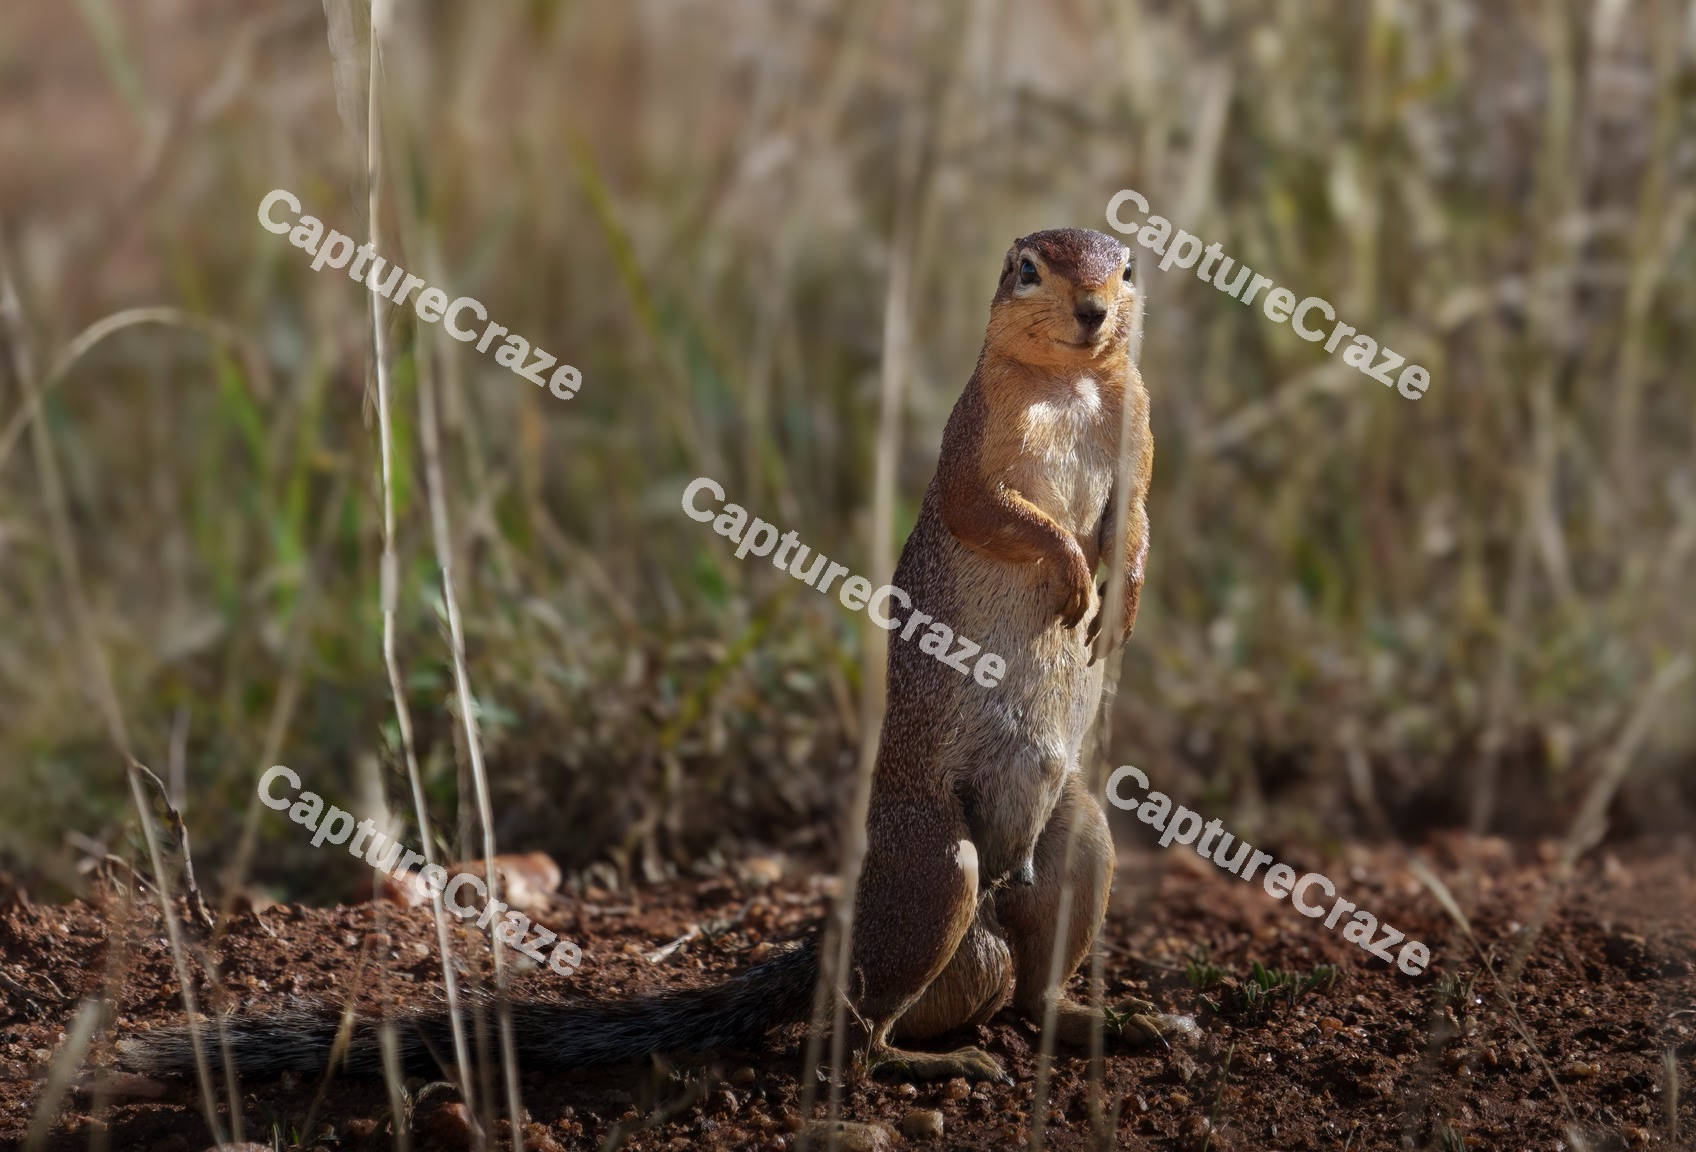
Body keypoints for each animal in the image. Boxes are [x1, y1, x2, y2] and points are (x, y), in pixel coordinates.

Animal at [117, 227, 1180, 1086]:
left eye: (1127, 266)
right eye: (1029, 267)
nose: (1094, 310)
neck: (1070, 384)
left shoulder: (1140, 430)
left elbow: (1137, 523)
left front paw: (1119, 599)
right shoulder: (974, 446)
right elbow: (997, 510)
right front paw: (1072, 572)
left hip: (1080, 838)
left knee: (1031, 989)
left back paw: (1108, 1019)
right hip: (935, 871)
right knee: (850, 1033)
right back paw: (923, 1068)